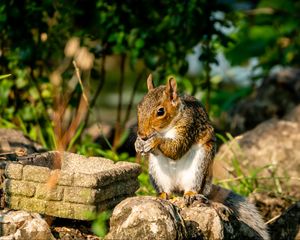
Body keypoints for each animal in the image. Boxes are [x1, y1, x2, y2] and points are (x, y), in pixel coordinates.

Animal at [135, 74, 270, 239]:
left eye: (161, 111)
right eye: (139, 107)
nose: (142, 134)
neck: (167, 128)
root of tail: (178, 188)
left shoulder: (189, 126)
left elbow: (176, 149)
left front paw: (155, 141)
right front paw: (138, 143)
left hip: (199, 167)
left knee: (193, 187)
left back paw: (191, 194)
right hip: (157, 173)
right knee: (166, 190)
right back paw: (162, 196)